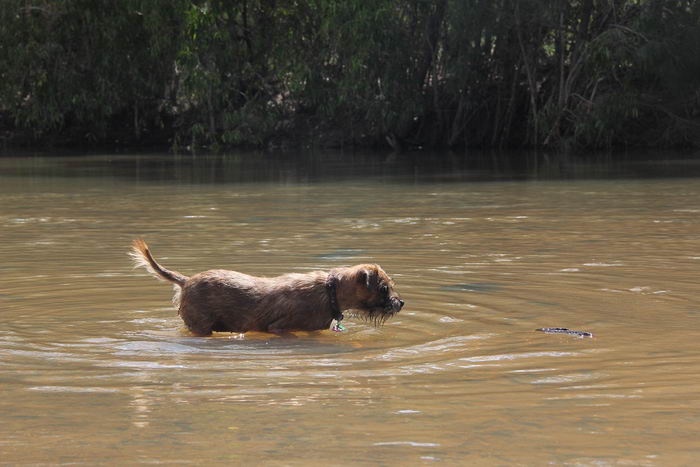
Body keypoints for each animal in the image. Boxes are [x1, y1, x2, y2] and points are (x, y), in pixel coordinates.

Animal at [130, 239, 404, 334]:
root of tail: (185, 280)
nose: (401, 303)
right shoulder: (278, 327)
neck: (330, 293)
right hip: (201, 325)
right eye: (383, 288)